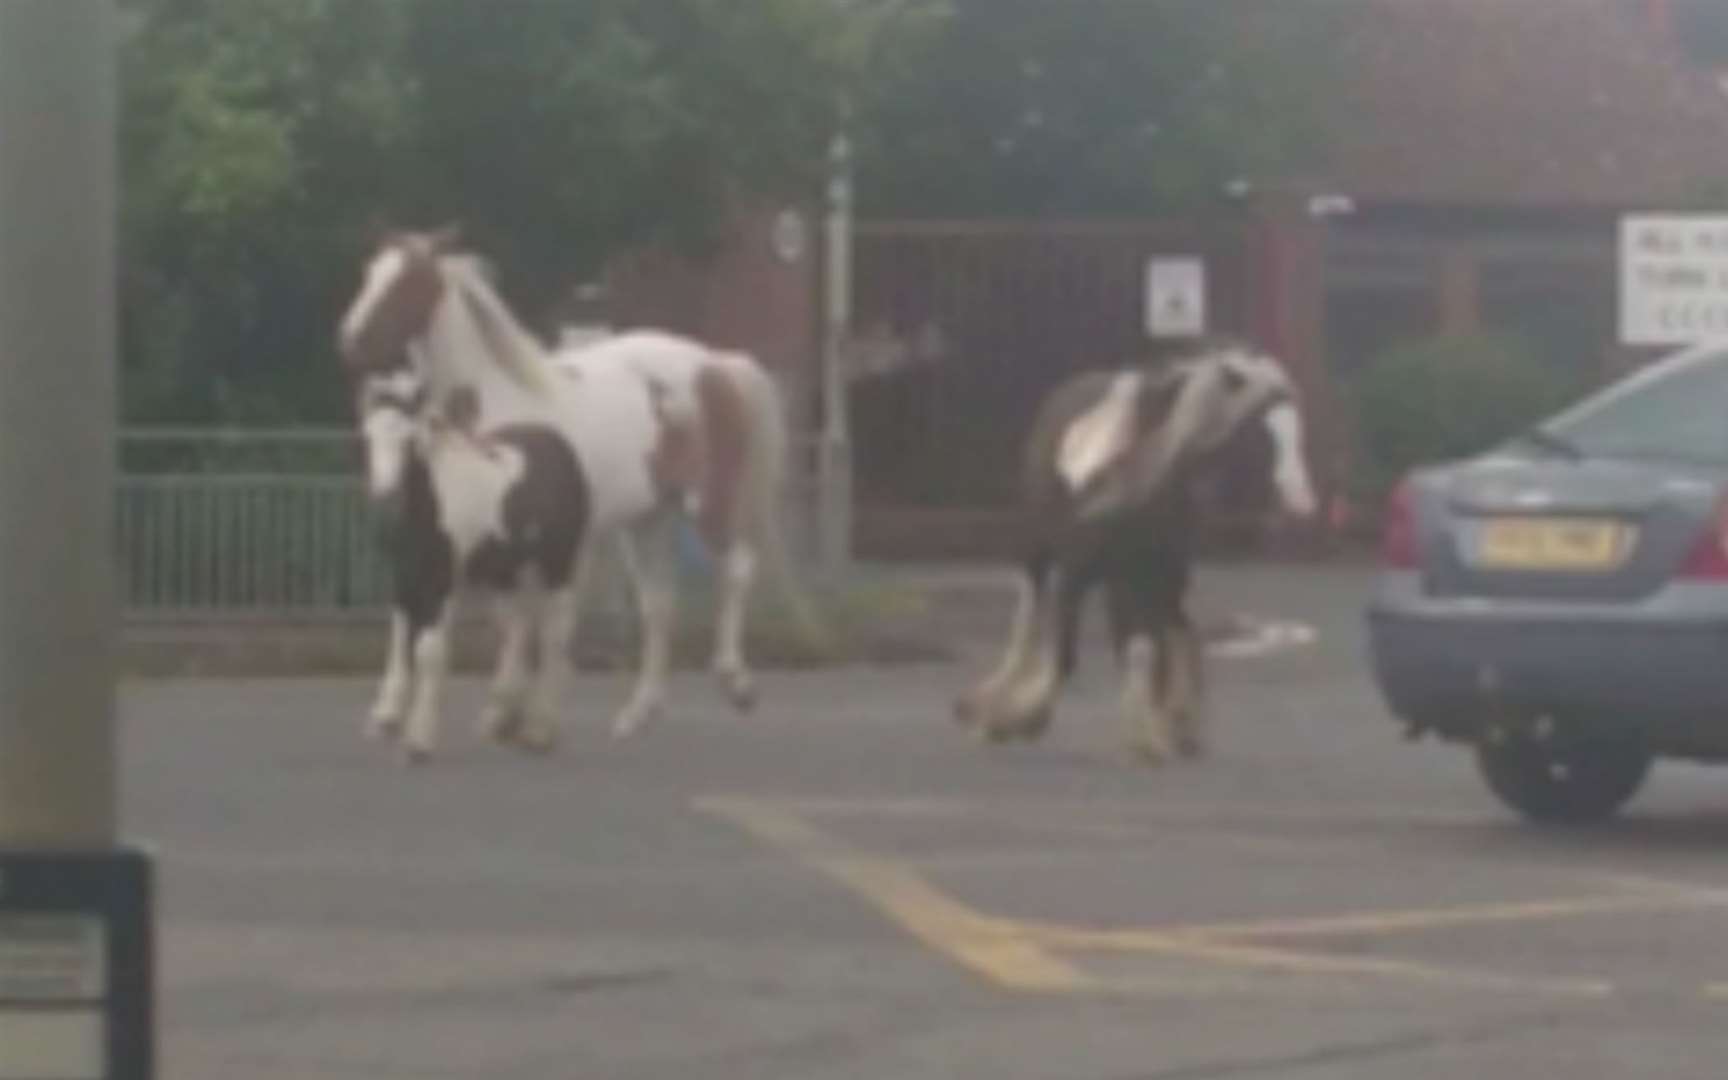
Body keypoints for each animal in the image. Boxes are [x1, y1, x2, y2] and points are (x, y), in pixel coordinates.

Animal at [953, 340, 1313, 763]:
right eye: (1258, 432)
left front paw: (1152, 738)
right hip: (1039, 553)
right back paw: (990, 703)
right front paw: (1017, 720)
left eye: (1293, 422)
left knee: (1173, 632)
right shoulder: (1077, 575)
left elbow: (1143, 648)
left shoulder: (1151, 579)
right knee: (1028, 616)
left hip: (1146, 583)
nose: (1303, 501)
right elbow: (1065, 655)